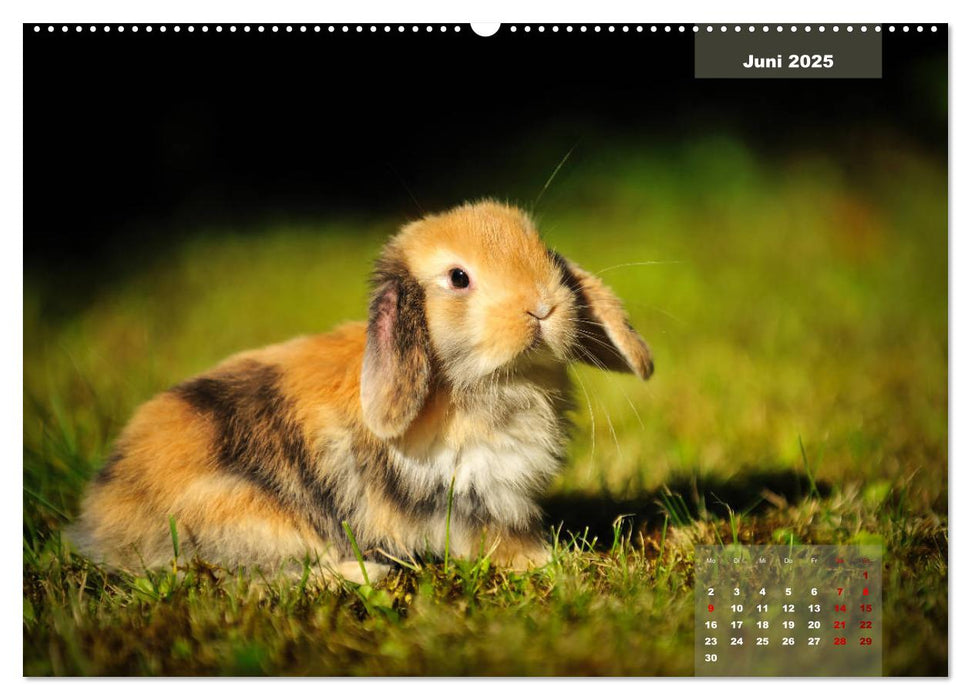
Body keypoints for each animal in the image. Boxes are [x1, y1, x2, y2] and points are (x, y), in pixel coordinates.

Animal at [68, 200, 652, 584]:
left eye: (544, 253)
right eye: (458, 278)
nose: (542, 307)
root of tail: (101, 522)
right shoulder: (465, 498)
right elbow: (494, 540)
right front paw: (552, 560)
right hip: (246, 521)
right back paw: (367, 574)